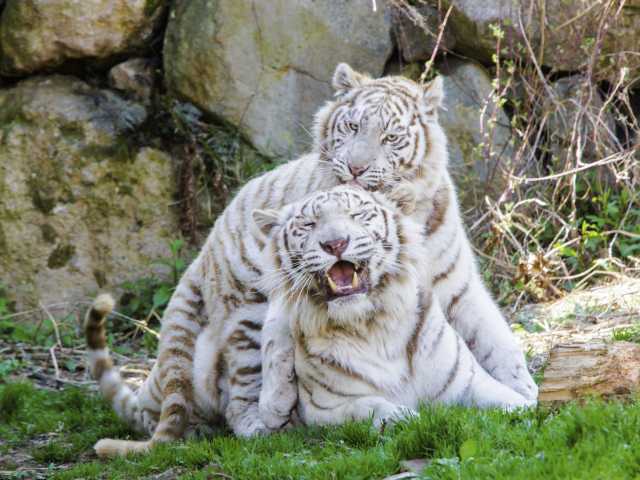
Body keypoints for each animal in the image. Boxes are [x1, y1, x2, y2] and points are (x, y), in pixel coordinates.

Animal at [254, 186, 528, 430]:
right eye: (309, 224)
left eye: (357, 214)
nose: (335, 243)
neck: (373, 326)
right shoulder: (324, 409)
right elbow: (368, 407)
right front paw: (404, 418)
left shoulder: (468, 383)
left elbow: (512, 402)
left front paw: (525, 408)